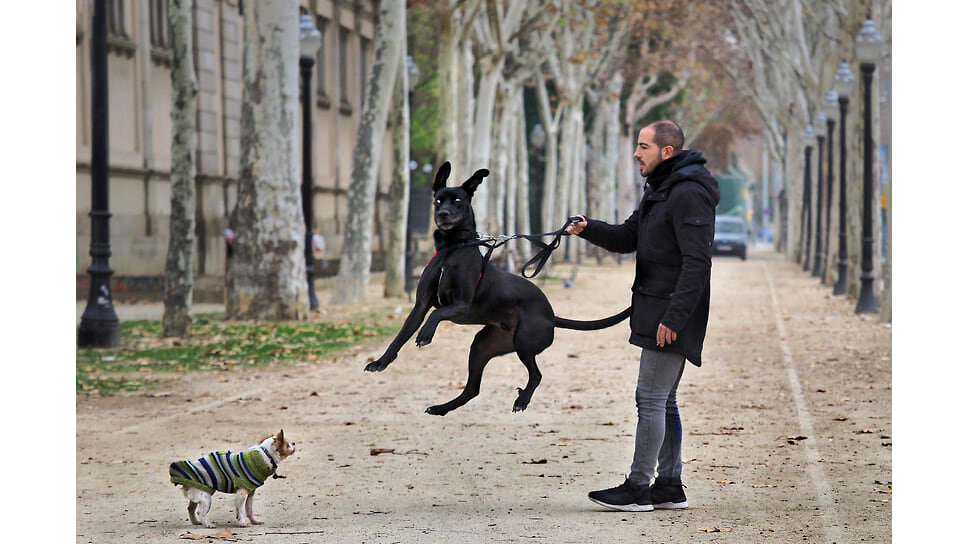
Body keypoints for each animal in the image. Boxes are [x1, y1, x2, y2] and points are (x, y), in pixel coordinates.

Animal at [366, 162, 632, 416]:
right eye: (438, 200)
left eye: (458, 201)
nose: (442, 214)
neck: (453, 248)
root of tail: (551, 315)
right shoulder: (420, 305)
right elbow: (401, 335)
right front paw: (380, 362)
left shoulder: (461, 305)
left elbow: (437, 313)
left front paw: (425, 335)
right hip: (483, 344)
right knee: (472, 390)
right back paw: (441, 408)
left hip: (523, 342)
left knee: (536, 375)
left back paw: (522, 400)